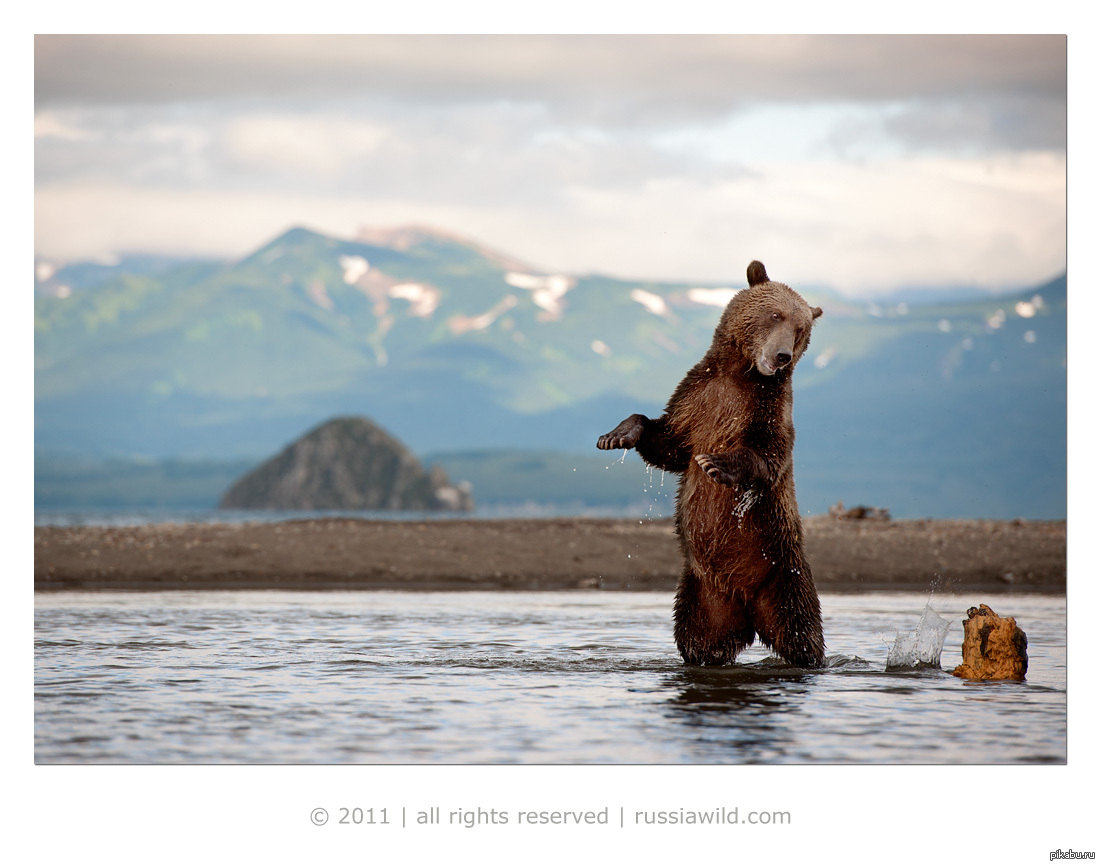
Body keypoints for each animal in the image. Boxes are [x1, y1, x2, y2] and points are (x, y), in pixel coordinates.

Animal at [598, 260, 822, 669]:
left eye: (801, 330)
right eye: (775, 314)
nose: (782, 355)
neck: (741, 375)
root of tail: (749, 605)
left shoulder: (767, 411)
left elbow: (768, 457)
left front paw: (717, 464)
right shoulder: (696, 400)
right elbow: (669, 445)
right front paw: (617, 435)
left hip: (785, 572)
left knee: (802, 632)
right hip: (703, 594)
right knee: (699, 638)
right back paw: (705, 655)